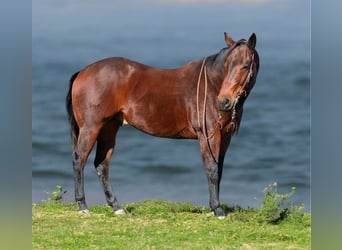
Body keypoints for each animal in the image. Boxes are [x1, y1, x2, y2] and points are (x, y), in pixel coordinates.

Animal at [66, 32, 260, 218]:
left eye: (245, 65)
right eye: (227, 64)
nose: (224, 101)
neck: (211, 85)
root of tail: (83, 72)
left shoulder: (225, 136)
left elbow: (219, 170)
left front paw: (214, 208)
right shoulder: (208, 135)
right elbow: (211, 169)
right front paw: (217, 209)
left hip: (109, 129)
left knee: (101, 165)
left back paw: (116, 207)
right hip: (91, 128)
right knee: (79, 160)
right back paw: (82, 207)